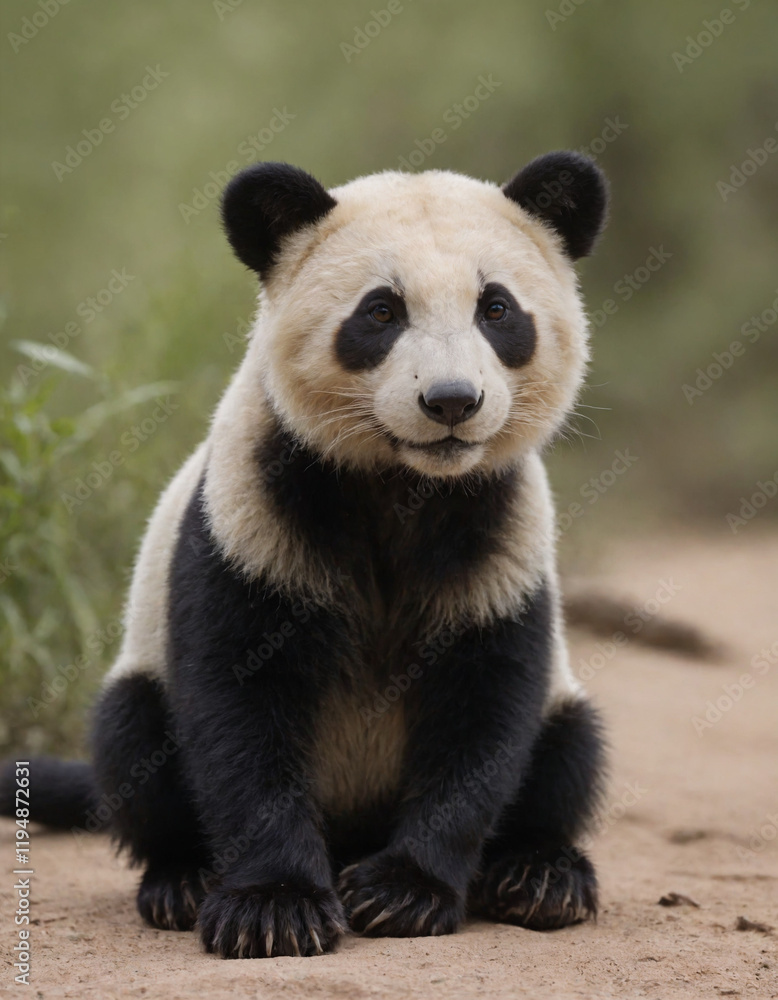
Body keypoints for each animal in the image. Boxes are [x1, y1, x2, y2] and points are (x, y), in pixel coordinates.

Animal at [1, 151, 609, 959]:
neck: (404, 482)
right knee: (133, 742)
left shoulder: (501, 531)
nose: (451, 402)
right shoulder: (252, 510)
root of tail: (352, 831)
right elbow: (238, 707)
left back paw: (541, 877)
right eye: (380, 312)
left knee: (570, 751)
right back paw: (182, 881)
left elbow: (487, 710)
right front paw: (273, 908)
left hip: (560, 704)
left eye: (497, 309)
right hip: (143, 673)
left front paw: (403, 893)